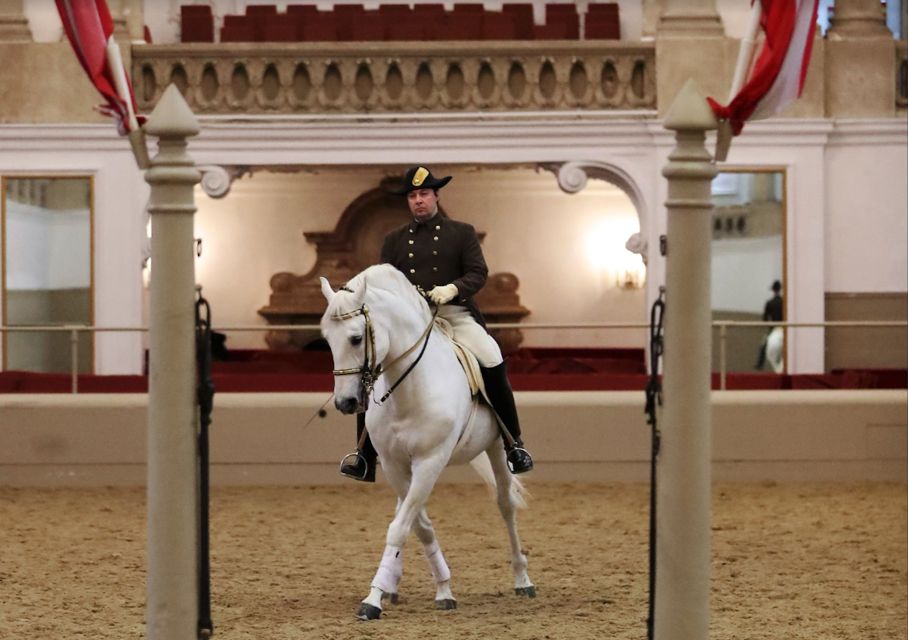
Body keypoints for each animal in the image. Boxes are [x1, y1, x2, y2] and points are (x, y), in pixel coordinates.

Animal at [320, 264, 536, 620]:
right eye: (326, 339)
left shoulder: (430, 461)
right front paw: (419, 588)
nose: (346, 403)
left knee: (506, 506)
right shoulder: (394, 464)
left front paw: (374, 601)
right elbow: (416, 525)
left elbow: (402, 527)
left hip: (495, 448)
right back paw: (393, 585)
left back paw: (523, 580)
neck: (409, 389)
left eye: (356, 337)